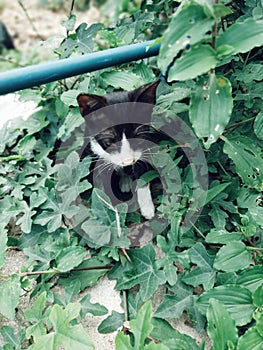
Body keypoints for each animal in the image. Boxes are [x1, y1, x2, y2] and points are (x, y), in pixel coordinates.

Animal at [77, 80, 162, 220]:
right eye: (110, 143)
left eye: (137, 139)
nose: (128, 161)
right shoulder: (98, 153)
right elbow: (105, 182)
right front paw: (114, 209)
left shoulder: (143, 148)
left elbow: (142, 172)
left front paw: (147, 208)